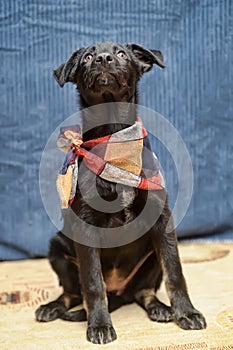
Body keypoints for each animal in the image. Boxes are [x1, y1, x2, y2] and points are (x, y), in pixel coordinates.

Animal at [35, 41, 207, 344]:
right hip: (57, 248)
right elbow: (93, 284)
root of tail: (120, 291)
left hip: (149, 261)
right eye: (87, 57)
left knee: (143, 291)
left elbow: (175, 272)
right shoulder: (86, 227)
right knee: (73, 292)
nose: (103, 59)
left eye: (122, 54)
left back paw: (160, 308)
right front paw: (100, 325)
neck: (116, 147)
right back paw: (52, 306)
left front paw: (186, 312)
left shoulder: (162, 220)